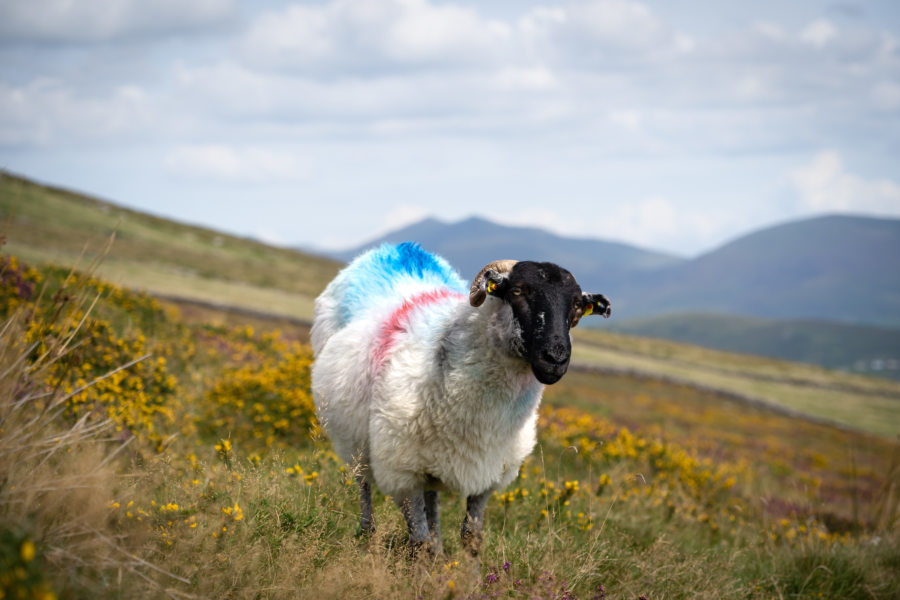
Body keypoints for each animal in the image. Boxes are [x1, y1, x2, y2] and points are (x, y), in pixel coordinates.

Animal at [310, 241, 612, 556]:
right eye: (518, 291)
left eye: (577, 306)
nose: (555, 358)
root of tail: (393, 251)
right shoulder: (402, 471)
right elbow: (418, 540)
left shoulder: (488, 472)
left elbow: (471, 537)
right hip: (355, 443)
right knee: (364, 486)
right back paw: (368, 535)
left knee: (432, 501)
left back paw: (438, 550)